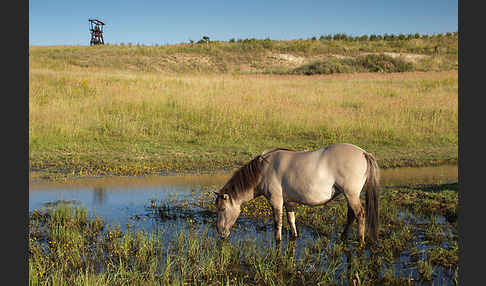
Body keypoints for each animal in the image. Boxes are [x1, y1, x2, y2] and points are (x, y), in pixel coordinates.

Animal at [215, 144, 380, 245]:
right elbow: (291, 220)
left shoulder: (276, 201)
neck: (263, 170)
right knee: (351, 215)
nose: (220, 232)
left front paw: (278, 241)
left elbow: (278, 223)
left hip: (351, 195)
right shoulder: (288, 201)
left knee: (360, 215)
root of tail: (364, 153)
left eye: (222, 209)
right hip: (349, 195)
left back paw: (360, 242)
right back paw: (343, 237)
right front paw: (294, 237)